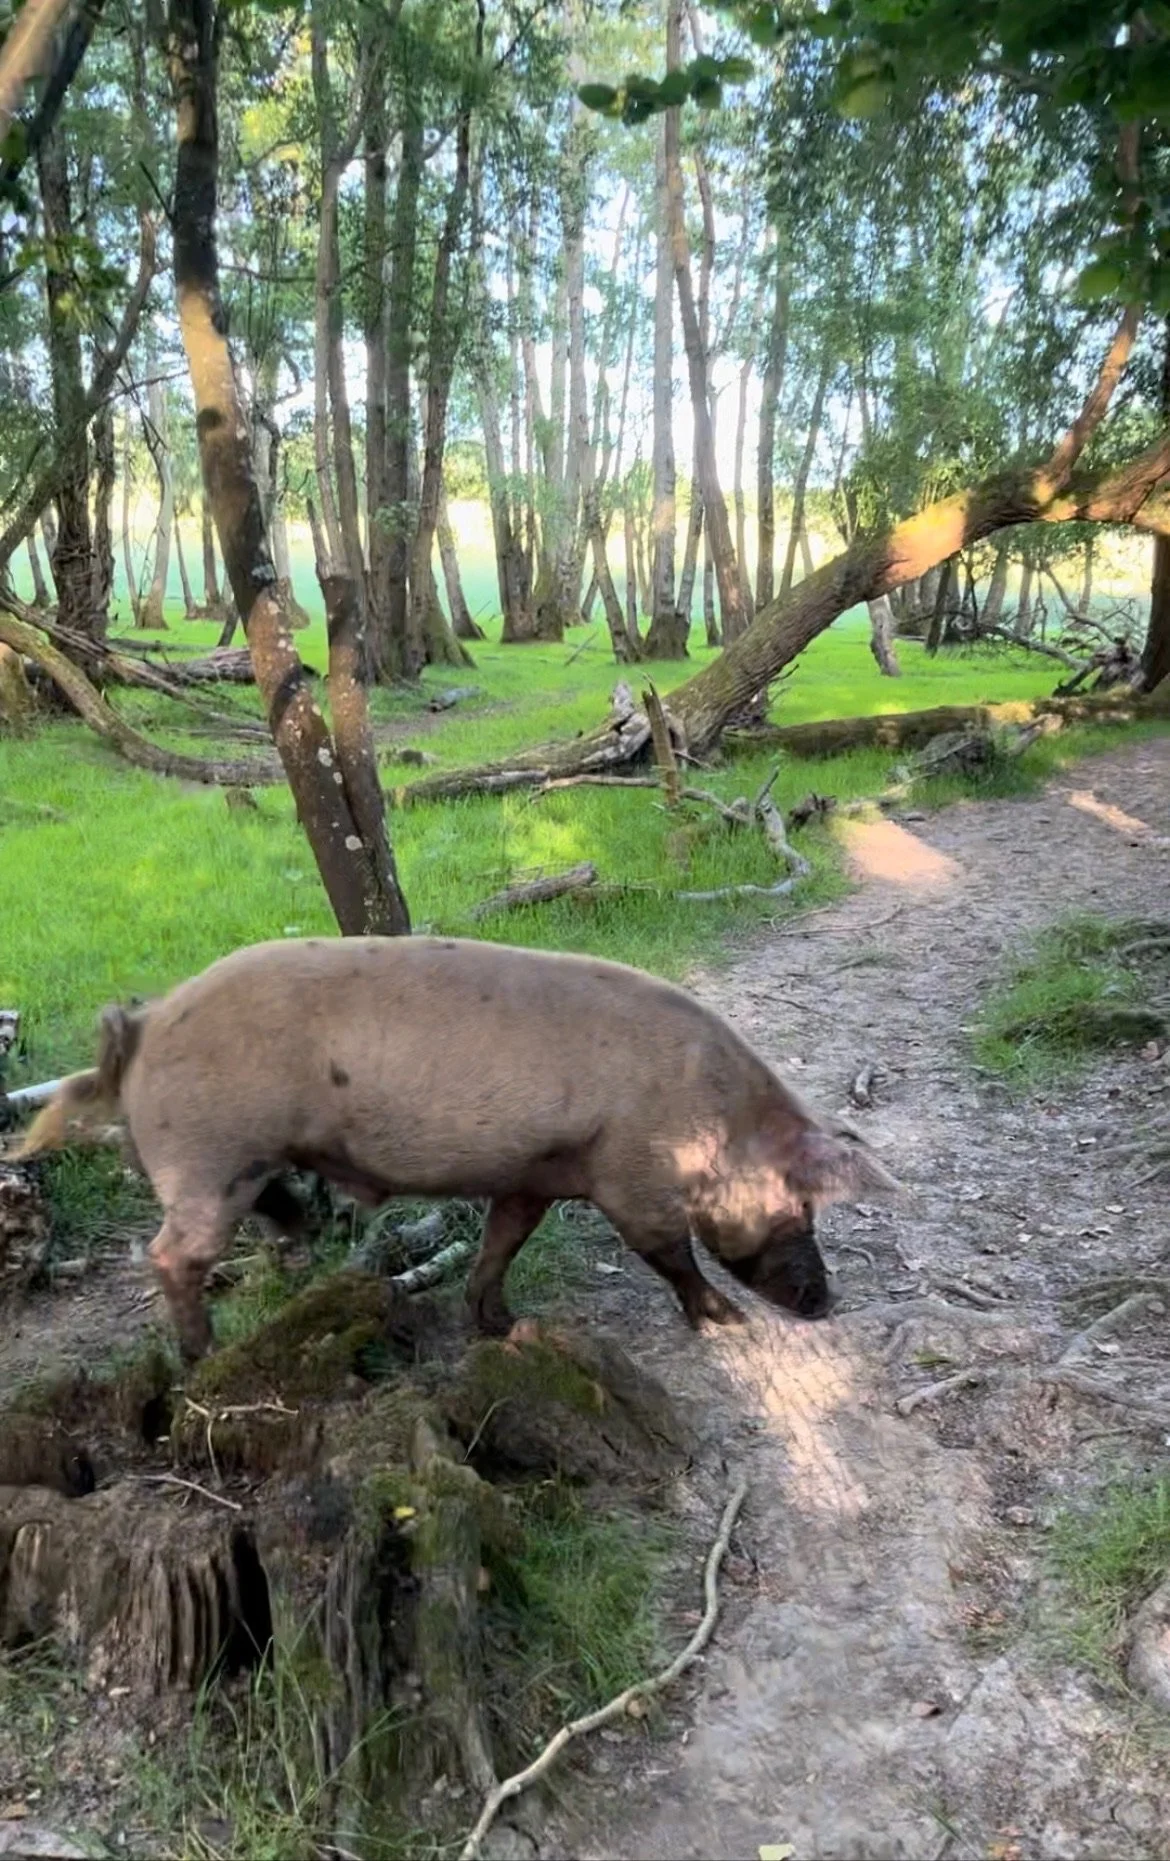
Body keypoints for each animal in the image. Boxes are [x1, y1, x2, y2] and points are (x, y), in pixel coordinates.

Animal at [15, 936, 896, 1360]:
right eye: (801, 1203)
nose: (826, 1299)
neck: (708, 1119)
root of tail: (143, 1024)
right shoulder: (633, 1177)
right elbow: (668, 1252)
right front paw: (728, 1322)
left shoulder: (537, 1174)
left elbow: (503, 1241)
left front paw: (501, 1325)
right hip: (208, 1153)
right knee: (172, 1253)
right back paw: (202, 1354)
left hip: (237, 1156)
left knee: (255, 1210)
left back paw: (300, 1232)